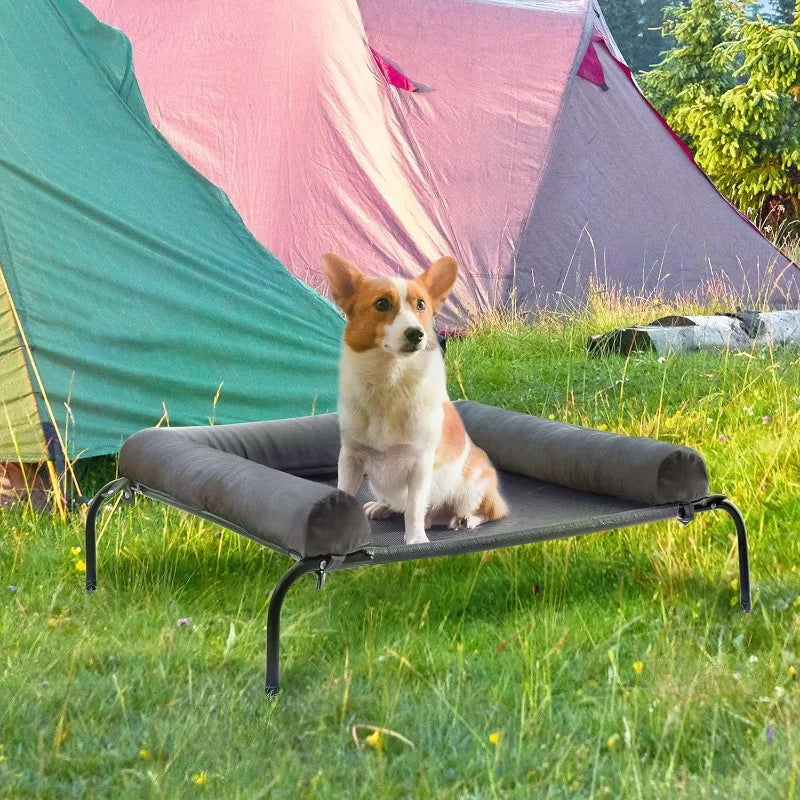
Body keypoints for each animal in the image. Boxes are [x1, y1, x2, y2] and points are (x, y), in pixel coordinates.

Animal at [324, 253, 506, 548]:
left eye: (421, 304)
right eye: (382, 304)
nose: (416, 334)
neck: (389, 382)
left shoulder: (420, 464)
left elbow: (414, 508)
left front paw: (415, 540)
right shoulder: (351, 458)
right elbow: (345, 495)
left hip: (472, 490)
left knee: (488, 512)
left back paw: (464, 520)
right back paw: (383, 507)